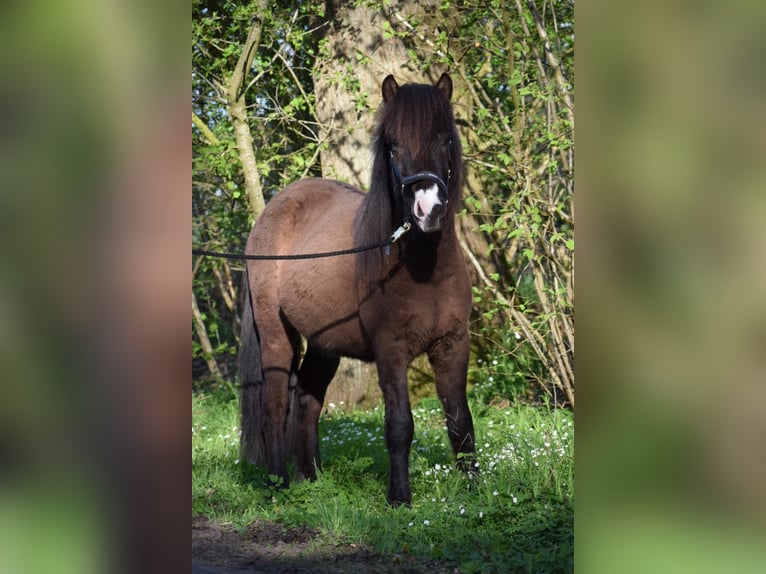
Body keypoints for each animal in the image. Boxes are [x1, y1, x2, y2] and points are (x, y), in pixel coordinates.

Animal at [243, 73, 476, 508]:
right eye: (393, 144)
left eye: (444, 139)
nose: (429, 211)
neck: (423, 269)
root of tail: (272, 209)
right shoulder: (391, 349)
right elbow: (399, 424)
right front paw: (400, 498)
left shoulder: (453, 343)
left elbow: (460, 420)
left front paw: (476, 489)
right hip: (275, 332)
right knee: (275, 404)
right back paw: (277, 484)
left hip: (324, 343)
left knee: (308, 399)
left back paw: (310, 478)